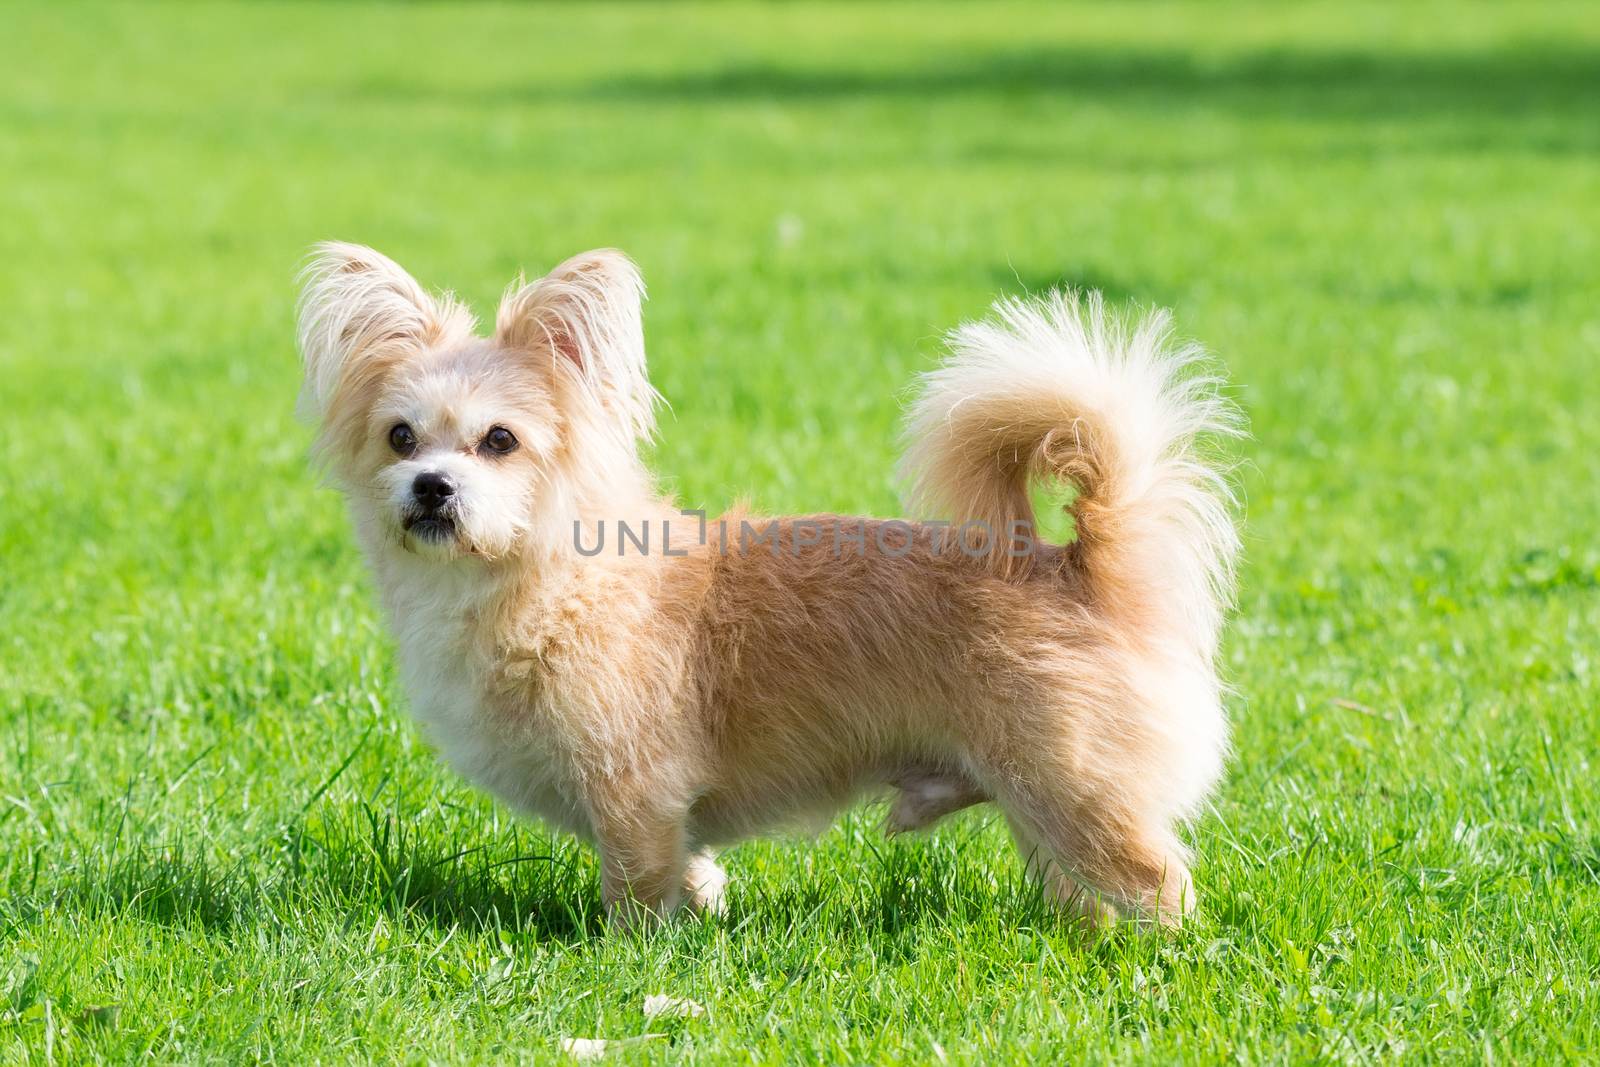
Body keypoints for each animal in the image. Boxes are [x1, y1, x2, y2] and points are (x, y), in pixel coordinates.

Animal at [302, 241, 1248, 927]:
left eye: (499, 441)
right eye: (399, 437)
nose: (431, 486)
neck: (548, 581)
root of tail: (1077, 564)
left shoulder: (635, 794)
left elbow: (635, 888)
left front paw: (630, 957)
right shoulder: (665, 815)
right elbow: (692, 867)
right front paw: (705, 913)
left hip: (1075, 792)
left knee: (1163, 884)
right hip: (1040, 811)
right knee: (1083, 895)